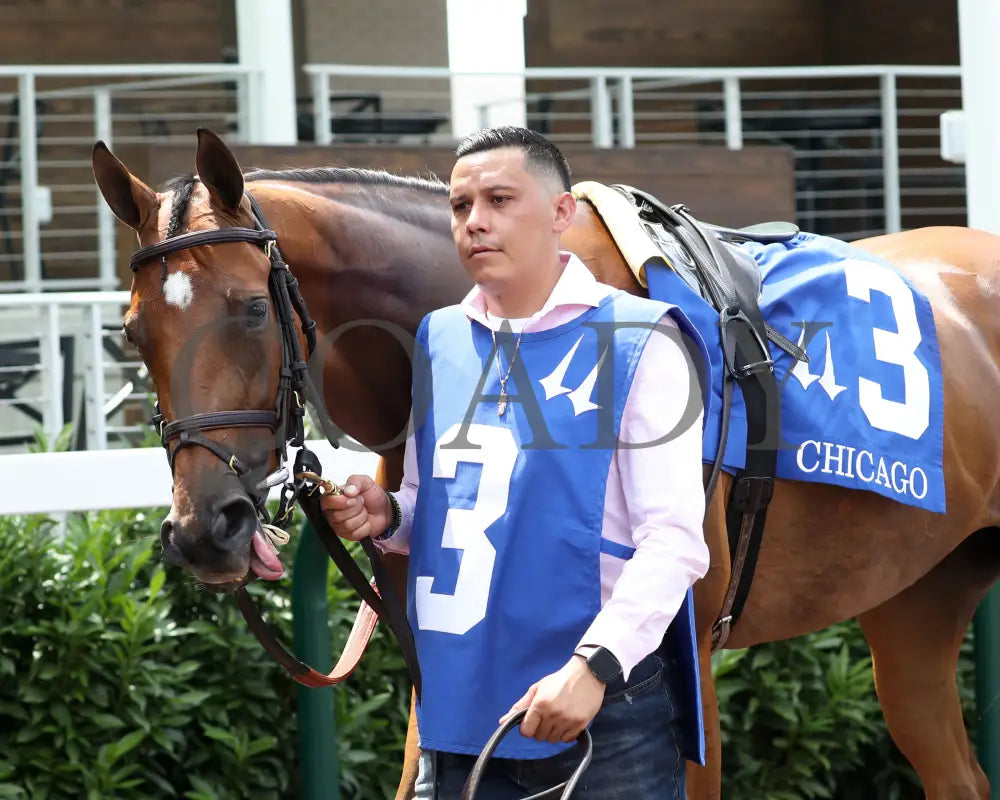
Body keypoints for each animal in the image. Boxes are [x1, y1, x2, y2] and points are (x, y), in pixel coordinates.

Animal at [95, 128, 1000, 796]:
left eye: (252, 309)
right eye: (133, 330)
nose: (204, 528)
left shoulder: (686, 665)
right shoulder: (441, 659)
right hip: (917, 596)